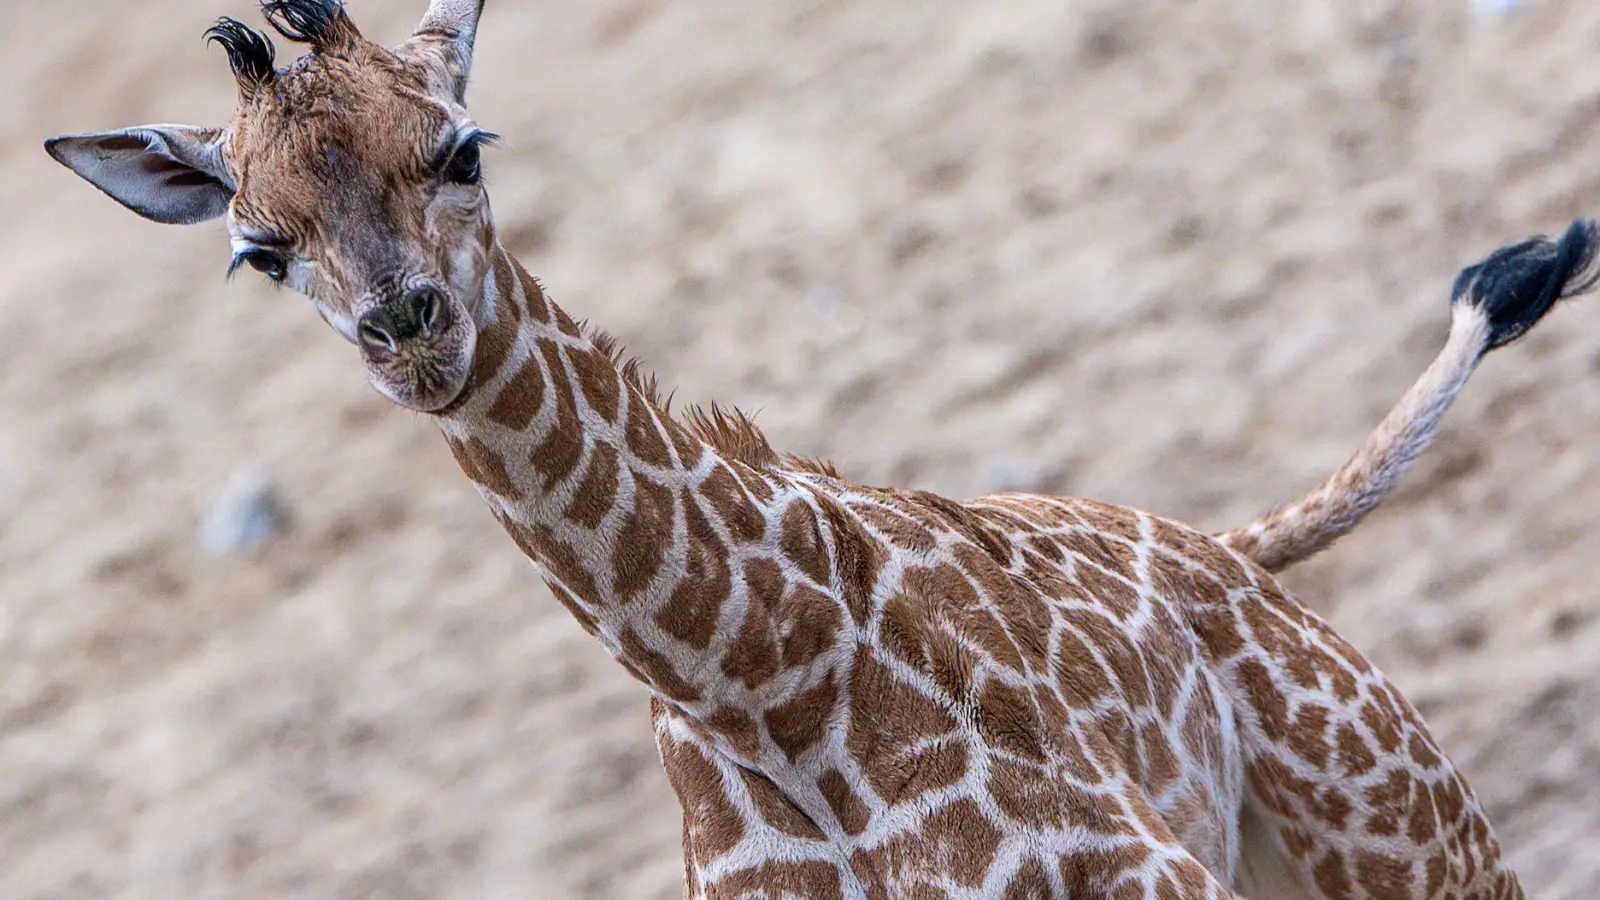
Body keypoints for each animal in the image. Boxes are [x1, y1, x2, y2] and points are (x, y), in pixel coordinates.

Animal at [43, 3, 1593, 890]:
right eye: (257, 248)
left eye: (463, 147)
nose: (407, 328)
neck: (760, 677)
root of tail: (1219, 546)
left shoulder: (1147, 878)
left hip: (1399, 828)